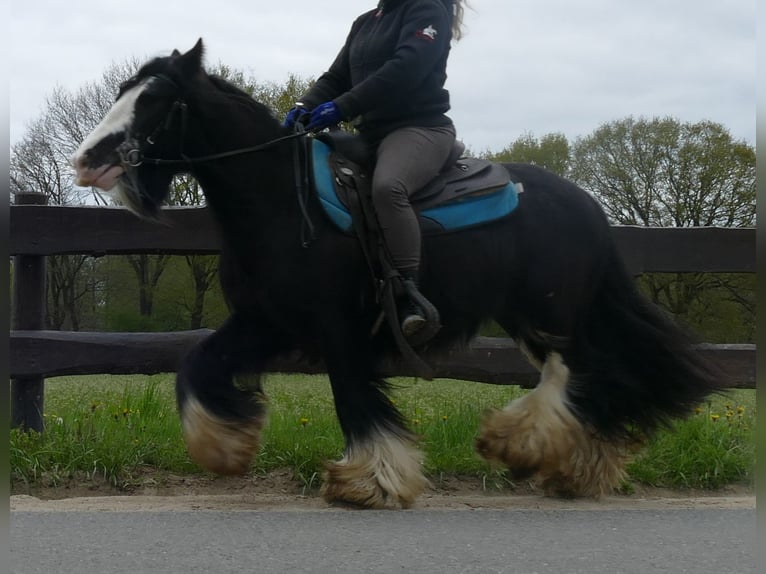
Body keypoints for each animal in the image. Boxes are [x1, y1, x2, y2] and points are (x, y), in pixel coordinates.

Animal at [70, 39, 720, 508]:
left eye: (155, 99)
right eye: (124, 91)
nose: (86, 158)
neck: (283, 202)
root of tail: (586, 204)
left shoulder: (339, 330)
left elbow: (355, 399)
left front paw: (371, 482)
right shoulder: (265, 322)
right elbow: (197, 365)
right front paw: (225, 447)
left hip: (552, 312)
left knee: (576, 373)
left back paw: (524, 445)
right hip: (530, 316)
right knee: (590, 376)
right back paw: (572, 465)